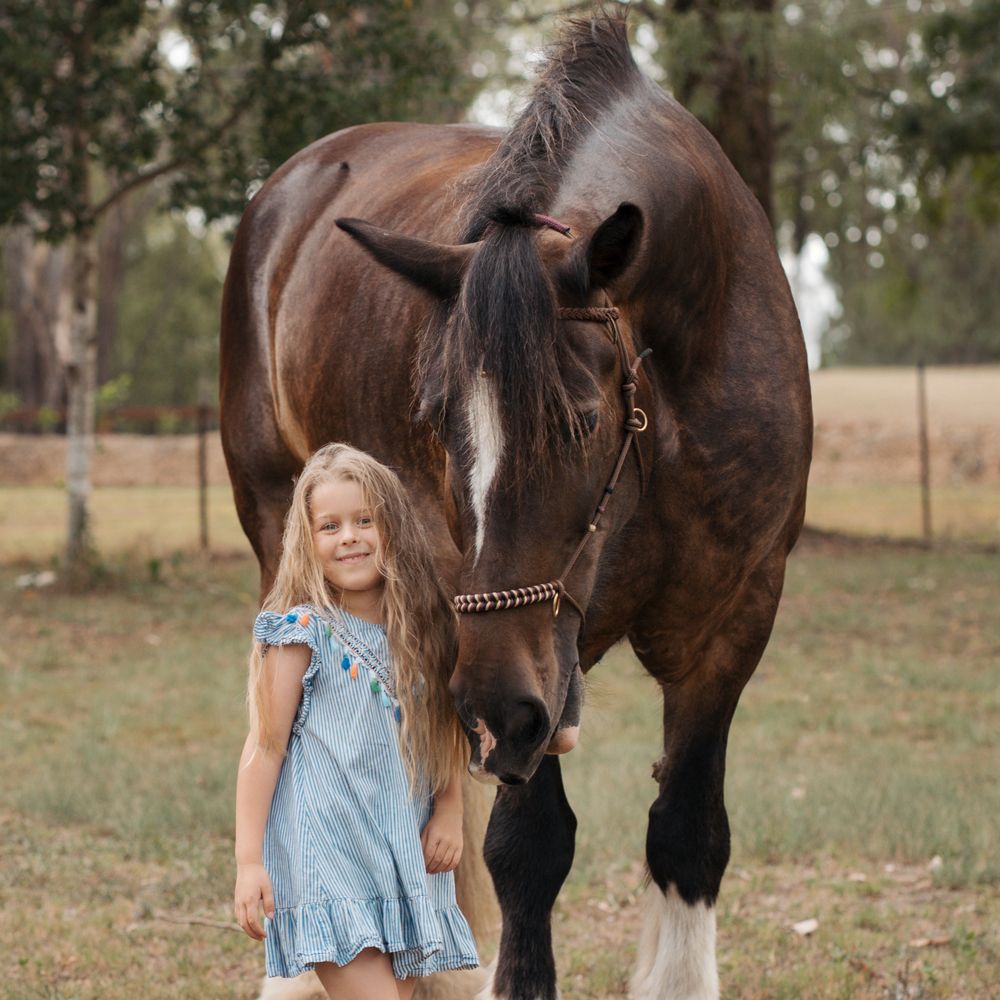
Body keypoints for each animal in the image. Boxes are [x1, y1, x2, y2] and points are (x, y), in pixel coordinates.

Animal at [220, 11, 811, 1000]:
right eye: (436, 421)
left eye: (580, 420)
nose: (496, 709)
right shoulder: (510, 668)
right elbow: (528, 850)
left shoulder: (727, 625)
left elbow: (687, 836)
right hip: (291, 536)